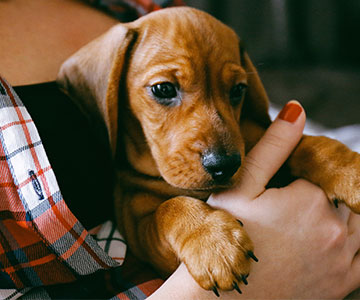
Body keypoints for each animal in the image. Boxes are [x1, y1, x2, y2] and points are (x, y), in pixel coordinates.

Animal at [57, 6, 360, 292]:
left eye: (238, 90)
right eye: (163, 89)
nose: (224, 165)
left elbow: (310, 144)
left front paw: (349, 173)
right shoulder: (140, 231)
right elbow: (170, 208)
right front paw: (213, 242)